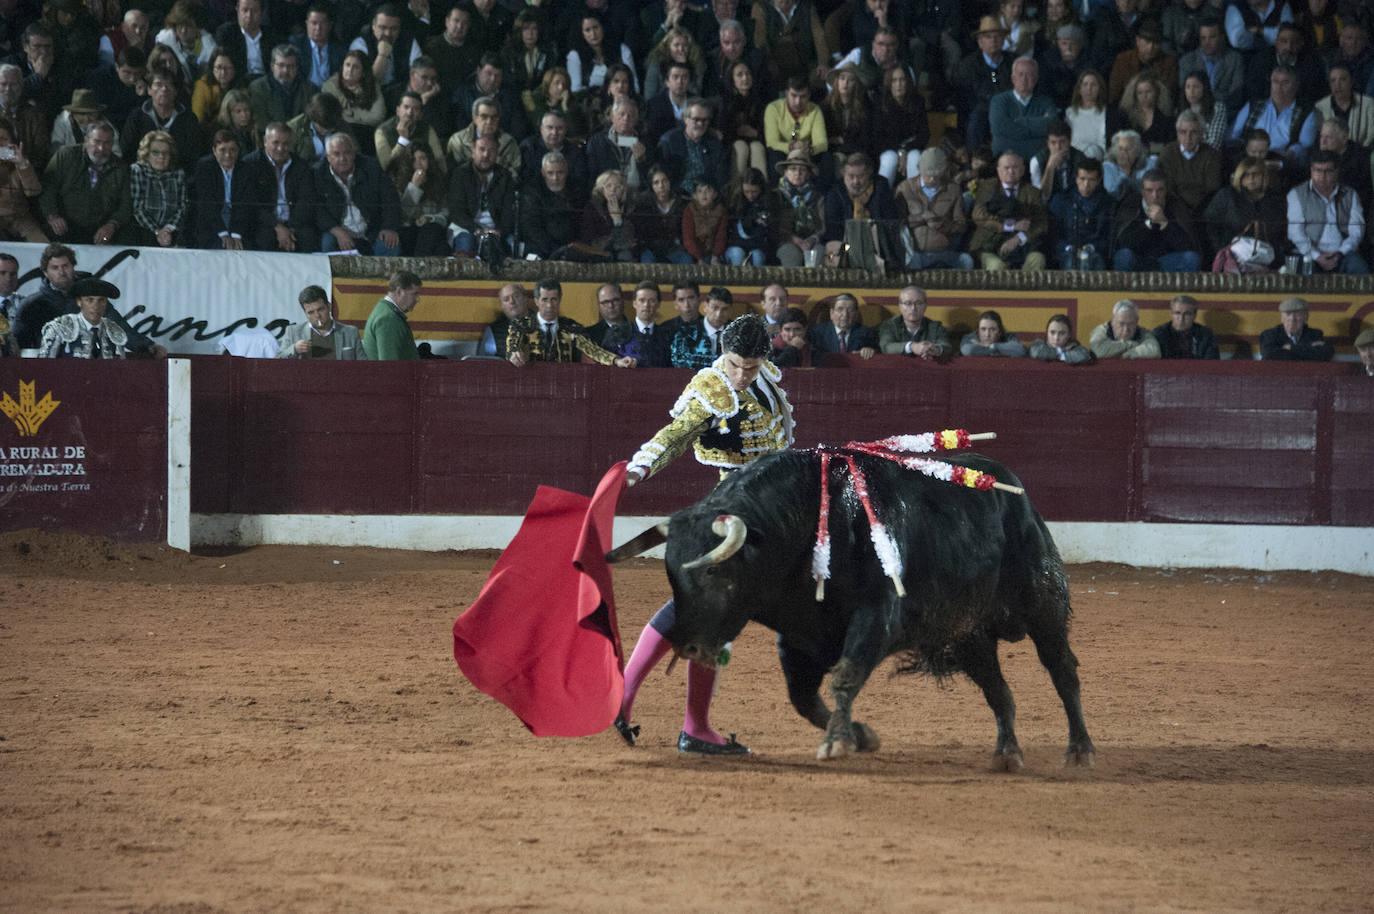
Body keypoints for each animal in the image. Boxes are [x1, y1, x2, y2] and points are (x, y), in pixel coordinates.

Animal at [612, 445, 1093, 764]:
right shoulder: (797, 639)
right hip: (967, 632)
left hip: (1043, 604)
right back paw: (1007, 752)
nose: (688, 646)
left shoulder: (877, 618)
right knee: (998, 689)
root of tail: (1014, 490)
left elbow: (844, 676)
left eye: (714, 572)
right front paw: (859, 735)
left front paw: (838, 740)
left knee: (1062, 670)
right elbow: (803, 698)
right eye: (671, 574)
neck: (803, 525)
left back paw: (1079, 749)